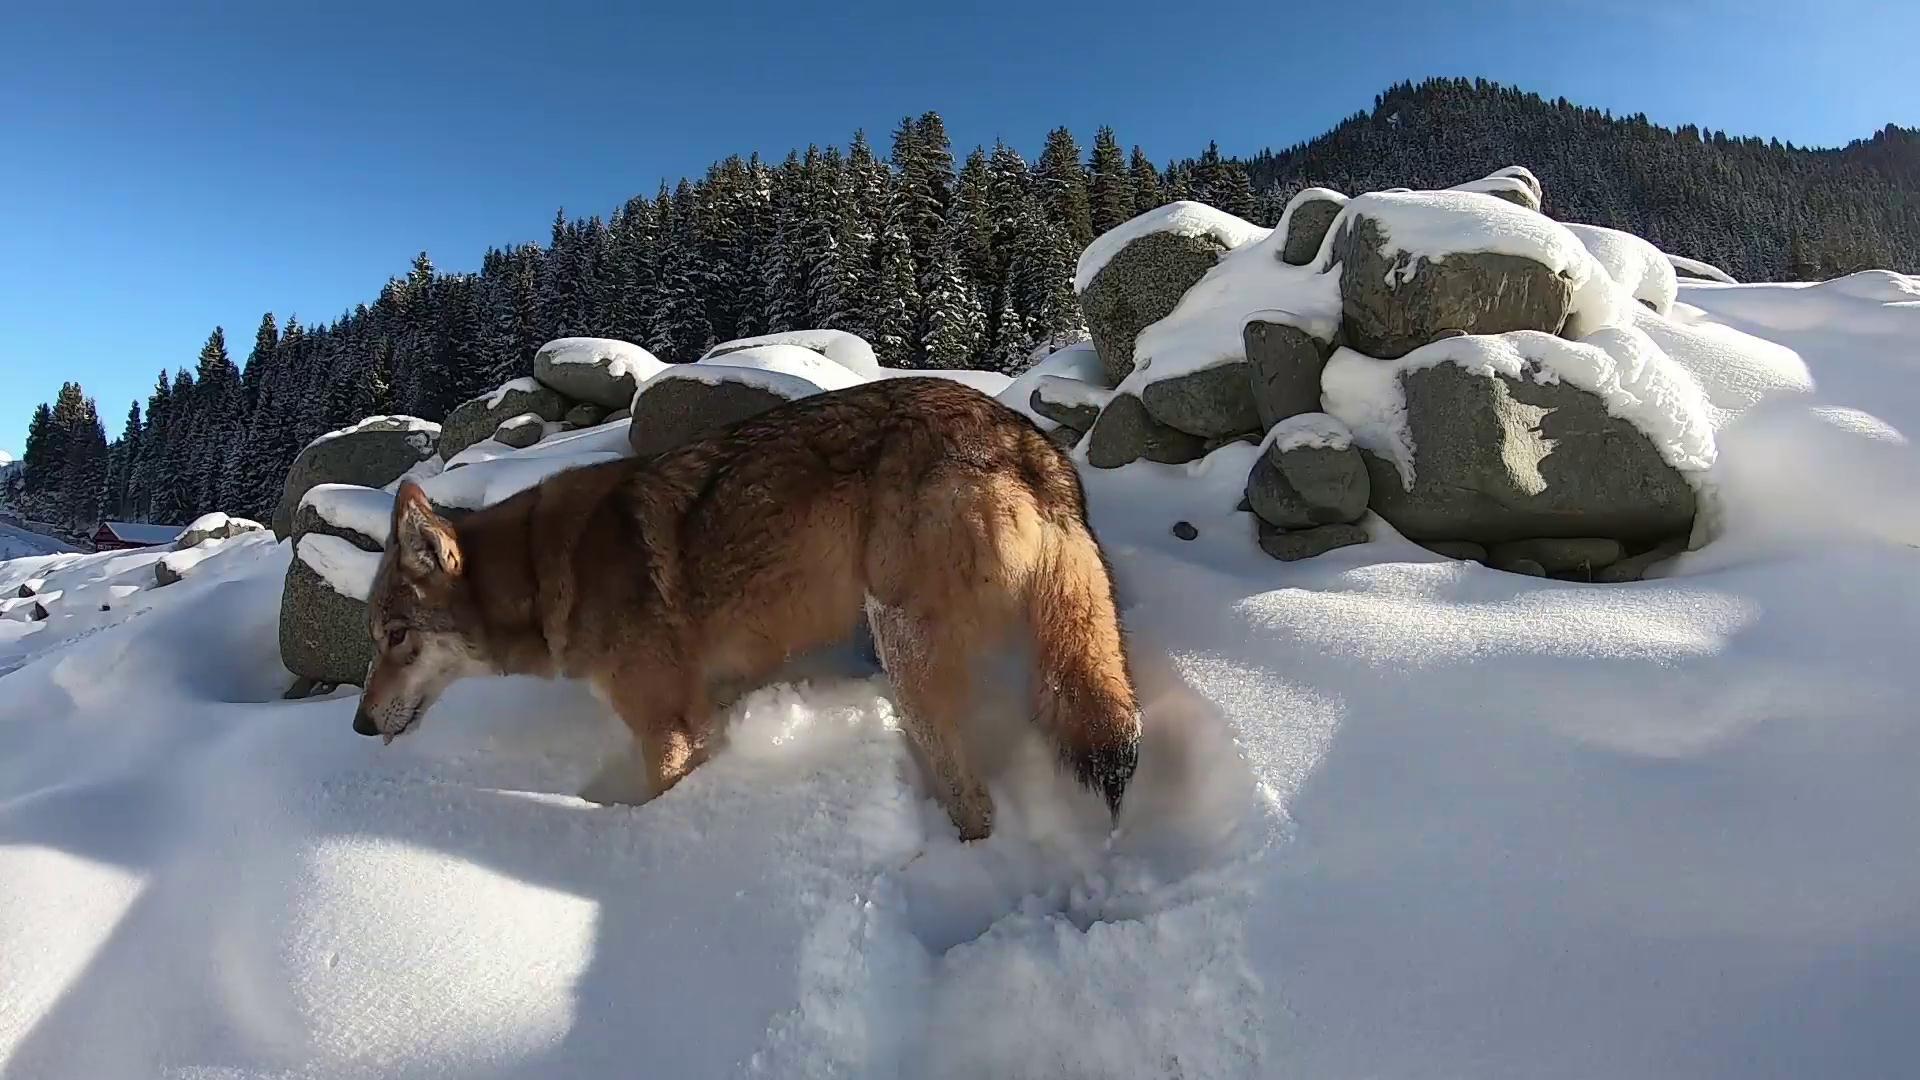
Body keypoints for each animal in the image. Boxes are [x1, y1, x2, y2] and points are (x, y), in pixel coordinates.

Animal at [353, 374, 1136, 837]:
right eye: (375, 637)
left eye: (396, 636)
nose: (359, 725)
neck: (542, 574)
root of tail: (1032, 445)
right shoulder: (706, 703)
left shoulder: (664, 729)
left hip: (902, 648)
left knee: (974, 800)